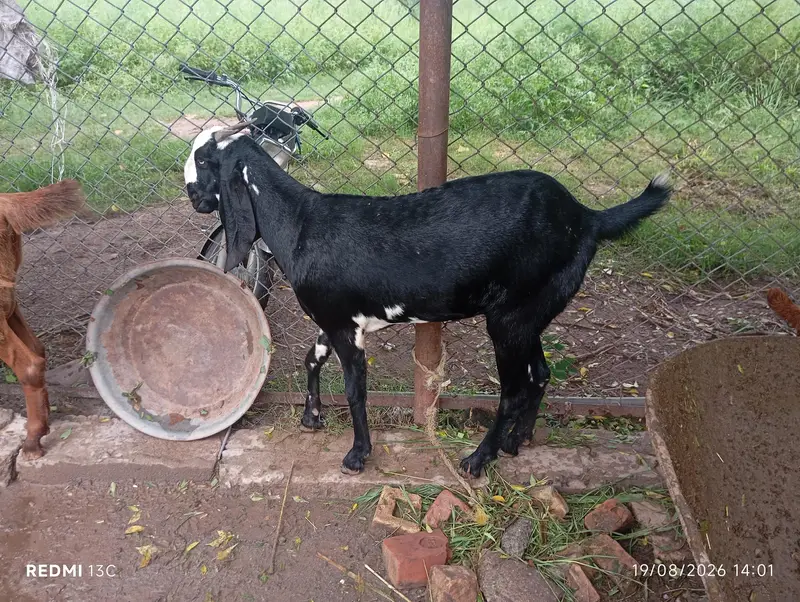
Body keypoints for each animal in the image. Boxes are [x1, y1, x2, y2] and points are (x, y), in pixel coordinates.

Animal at [184, 121, 671, 477]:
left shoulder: (344, 326)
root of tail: (587, 218)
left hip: (510, 317)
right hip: (530, 312)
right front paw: (312, 416)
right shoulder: (331, 320)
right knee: (540, 373)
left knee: (514, 388)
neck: (301, 223)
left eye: (204, 160)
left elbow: (355, 390)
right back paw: (517, 441)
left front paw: (357, 455)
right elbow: (311, 359)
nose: (192, 197)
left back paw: (479, 458)